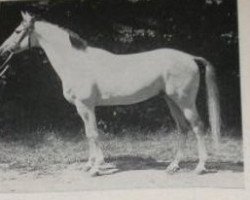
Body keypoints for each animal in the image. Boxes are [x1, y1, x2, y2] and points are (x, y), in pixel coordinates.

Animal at [0, 11, 221, 176]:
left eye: (18, 30)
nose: (3, 49)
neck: (77, 62)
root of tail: (190, 57)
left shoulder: (86, 106)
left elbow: (93, 134)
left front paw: (96, 168)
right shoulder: (82, 109)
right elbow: (88, 134)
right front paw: (89, 165)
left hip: (185, 102)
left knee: (197, 127)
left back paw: (200, 167)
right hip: (171, 101)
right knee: (182, 128)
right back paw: (173, 166)